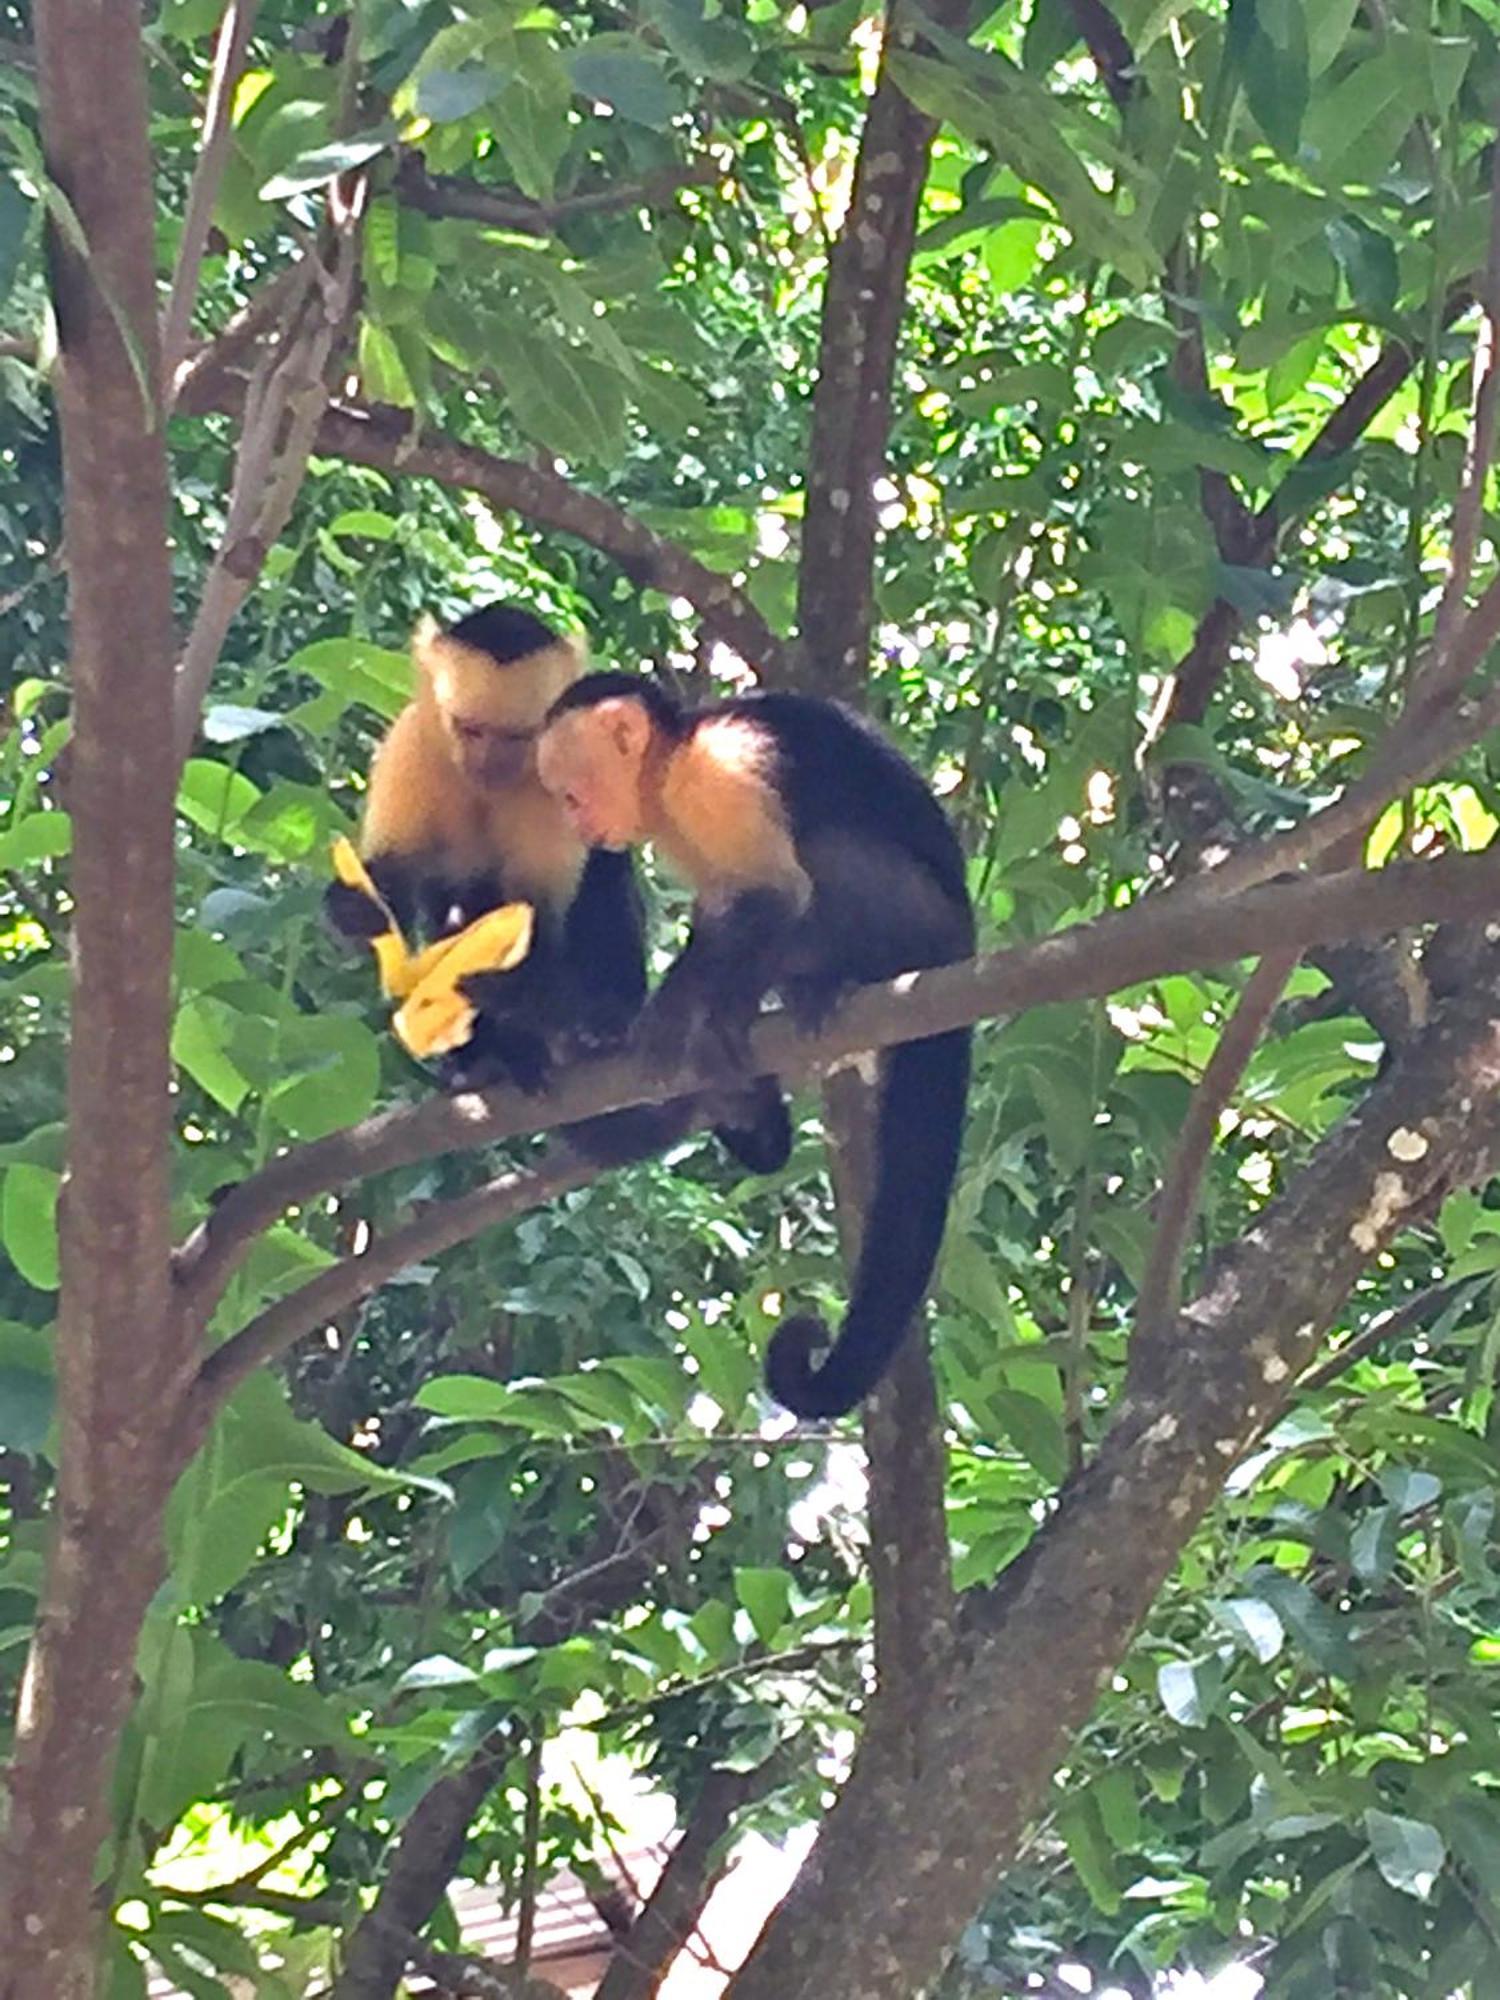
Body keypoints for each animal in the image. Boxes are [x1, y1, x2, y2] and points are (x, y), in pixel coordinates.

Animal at [536, 676, 980, 1424]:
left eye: (570, 792)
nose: (575, 825)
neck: (672, 760)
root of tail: (964, 951)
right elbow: (725, 911)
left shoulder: (721, 773)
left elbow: (772, 895)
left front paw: (676, 1013)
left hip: (922, 922)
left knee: (824, 858)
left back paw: (828, 984)